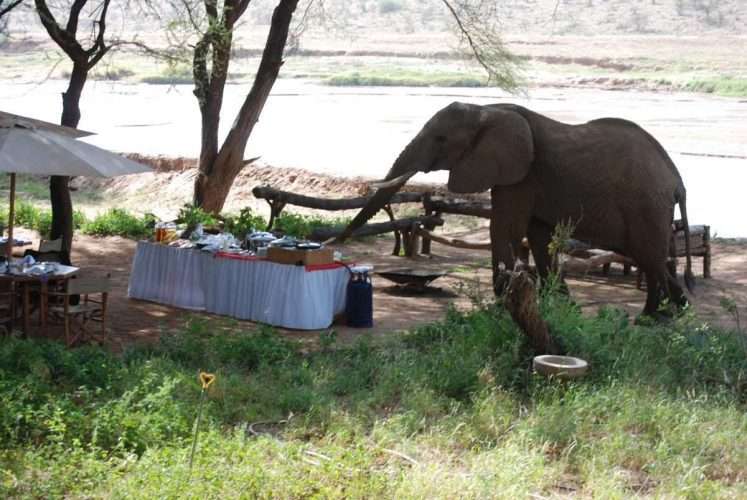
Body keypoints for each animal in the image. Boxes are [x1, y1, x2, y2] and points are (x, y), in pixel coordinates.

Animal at [334, 102, 695, 317]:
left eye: (440, 139)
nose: (335, 243)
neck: (486, 111)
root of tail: (677, 179)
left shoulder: (522, 174)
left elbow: (506, 228)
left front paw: (501, 302)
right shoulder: (520, 176)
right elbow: (536, 237)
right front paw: (560, 305)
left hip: (646, 204)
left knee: (648, 256)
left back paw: (656, 318)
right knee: (649, 257)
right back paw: (673, 311)